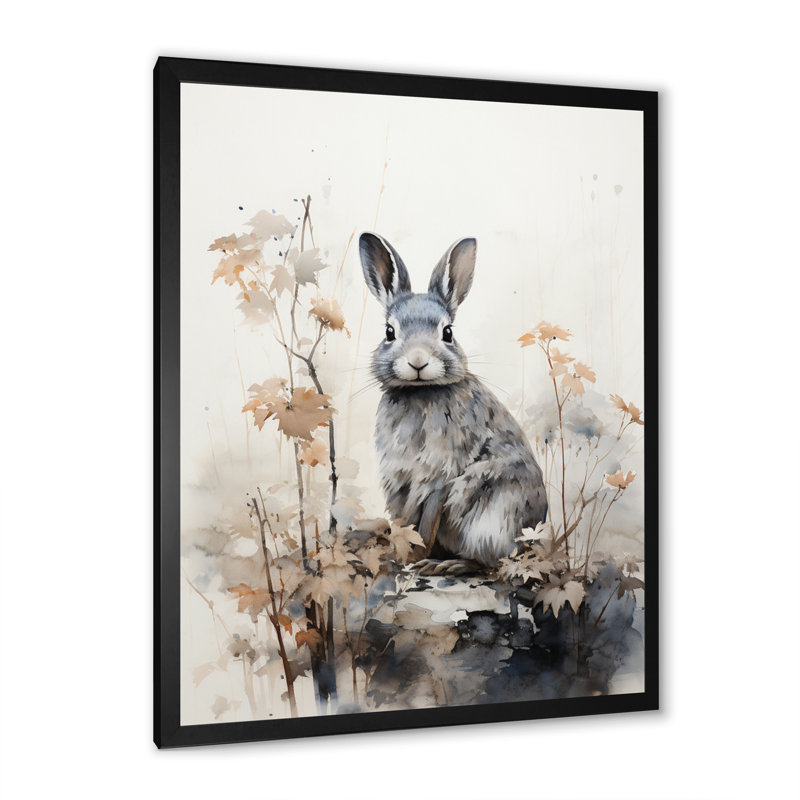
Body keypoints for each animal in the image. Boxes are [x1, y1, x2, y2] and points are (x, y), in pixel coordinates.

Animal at [359, 232, 548, 574]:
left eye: (447, 333)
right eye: (389, 332)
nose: (417, 361)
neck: (420, 393)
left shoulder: (439, 477)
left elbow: (425, 525)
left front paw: (416, 560)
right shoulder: (399, 482)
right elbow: (403, 524)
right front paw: (398, 556)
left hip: (489, 517)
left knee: (491, 561)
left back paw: (449, 565)